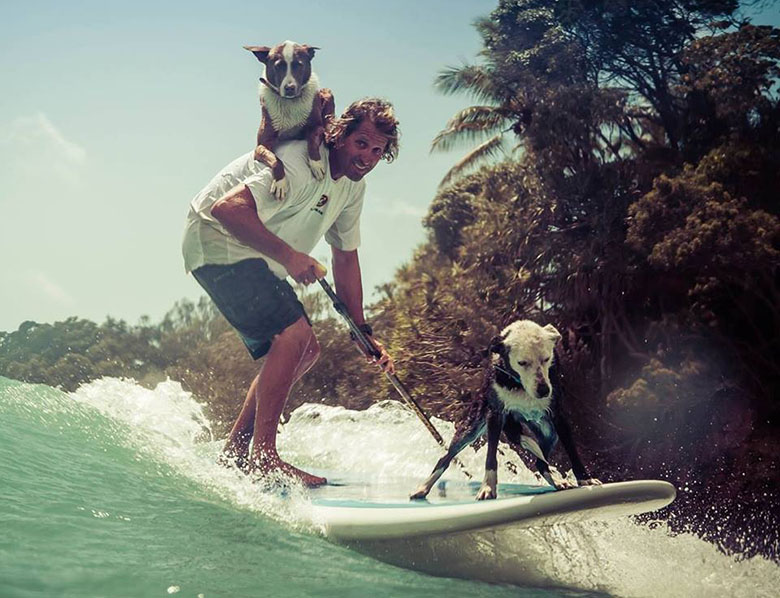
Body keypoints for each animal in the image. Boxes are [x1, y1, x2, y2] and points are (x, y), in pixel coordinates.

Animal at [244, 41, 336, 204]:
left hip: (326, 93)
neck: (290, 103)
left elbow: (312, 141)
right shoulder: (261, 145)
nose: (290, 88)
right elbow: (275, 159)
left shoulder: (316, 126)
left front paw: (316, 165)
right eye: (278, 66)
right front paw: (280, 183)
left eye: (299, 65)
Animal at [412, 318, 600, 502]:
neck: (518, 384)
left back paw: (557, 480)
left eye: (547, 359)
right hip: (471, 428)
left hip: (548, 432)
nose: (543, 390)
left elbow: (571, 449)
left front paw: (585, 479)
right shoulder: (495, 416)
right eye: (522, 363)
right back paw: (423, 487)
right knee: (446, 457)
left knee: (540, 461)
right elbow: (490, 456)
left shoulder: (557, 415)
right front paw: (488, 487)